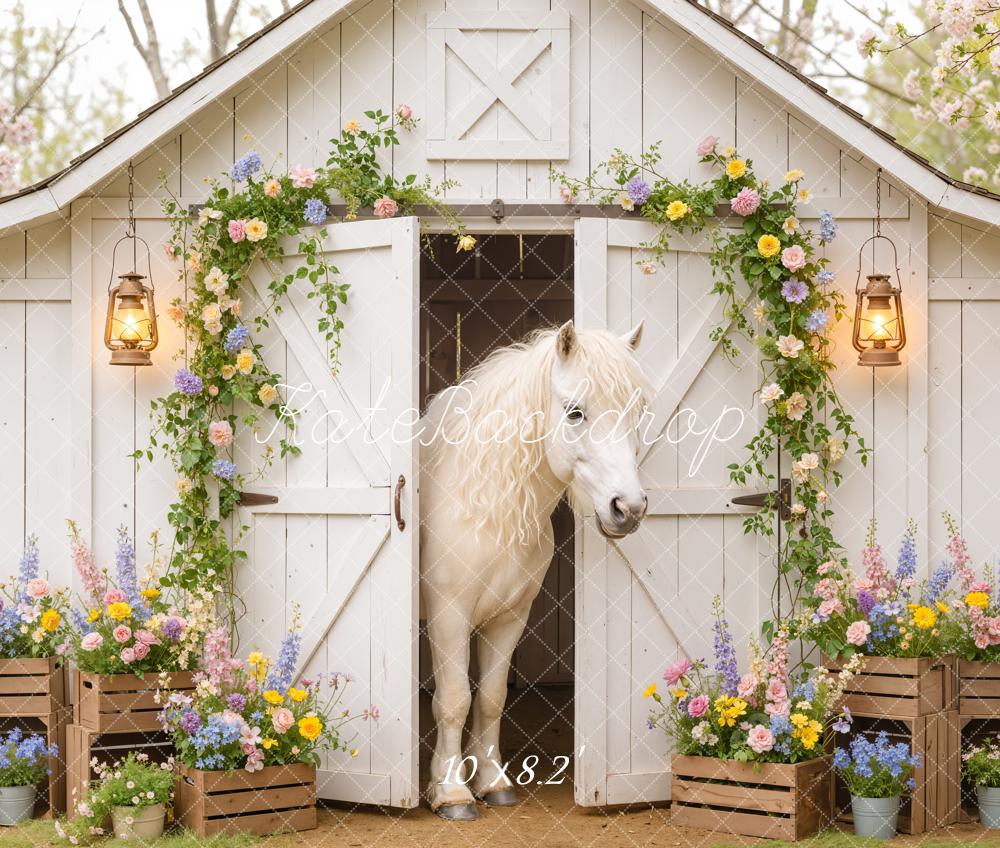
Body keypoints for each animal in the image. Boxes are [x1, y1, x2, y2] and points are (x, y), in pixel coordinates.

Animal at [419, 319, 650, 819]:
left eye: (637, 412)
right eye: (576, 412)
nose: (628, 509)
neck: (485, 507)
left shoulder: (509, 617)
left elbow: (490, 698)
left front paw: (492, 782)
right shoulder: (448, 615)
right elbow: (454, 699)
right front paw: (451, 793)